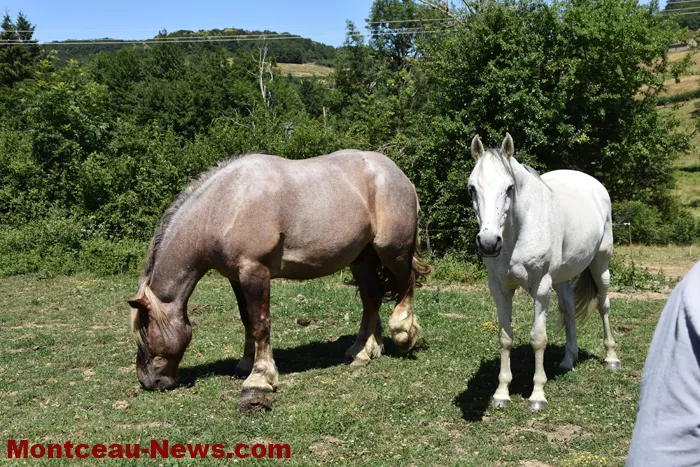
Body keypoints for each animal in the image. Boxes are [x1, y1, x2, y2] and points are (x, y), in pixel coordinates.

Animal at [127, 150, 431, 406]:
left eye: (145, 332)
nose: (148, 381)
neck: (227, 204)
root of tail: (398, 174)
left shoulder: (255, 270)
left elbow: (261, 323)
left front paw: (259, 379)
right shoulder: (237, 277)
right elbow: (247, 319)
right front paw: (246, 363)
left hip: (392, 250)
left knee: (407, 284)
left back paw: (403, 335)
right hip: (362, 258)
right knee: (372, 298)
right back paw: (363, 351)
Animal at [468, 133, 620, 411]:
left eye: (509, 188)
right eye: (472, 188)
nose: (489, 242)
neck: (519, 229)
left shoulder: (541, 287)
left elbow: (538, 338)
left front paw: (537, 395)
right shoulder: (499, 288)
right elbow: (505, 338)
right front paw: (501, 393)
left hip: (600, 264)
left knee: (604, 305)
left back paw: (612, 358)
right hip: (561, 277)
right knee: (568, 308)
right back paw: (568, 360)